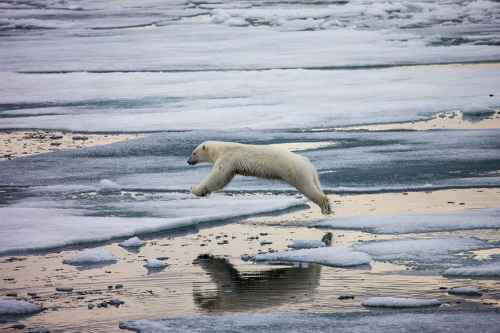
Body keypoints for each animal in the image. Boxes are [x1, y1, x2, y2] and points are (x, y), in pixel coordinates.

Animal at [188, 139, 332, 213]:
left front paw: (195, 189)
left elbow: (218, 176)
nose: (188, 161)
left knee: (307, 188)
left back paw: (324, 206)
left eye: (193, 152)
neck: (221, 149)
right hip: (311, 174)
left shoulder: (228, 158)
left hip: (296, 172)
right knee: (316, 185)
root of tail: (308, 163)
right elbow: (223, 178)